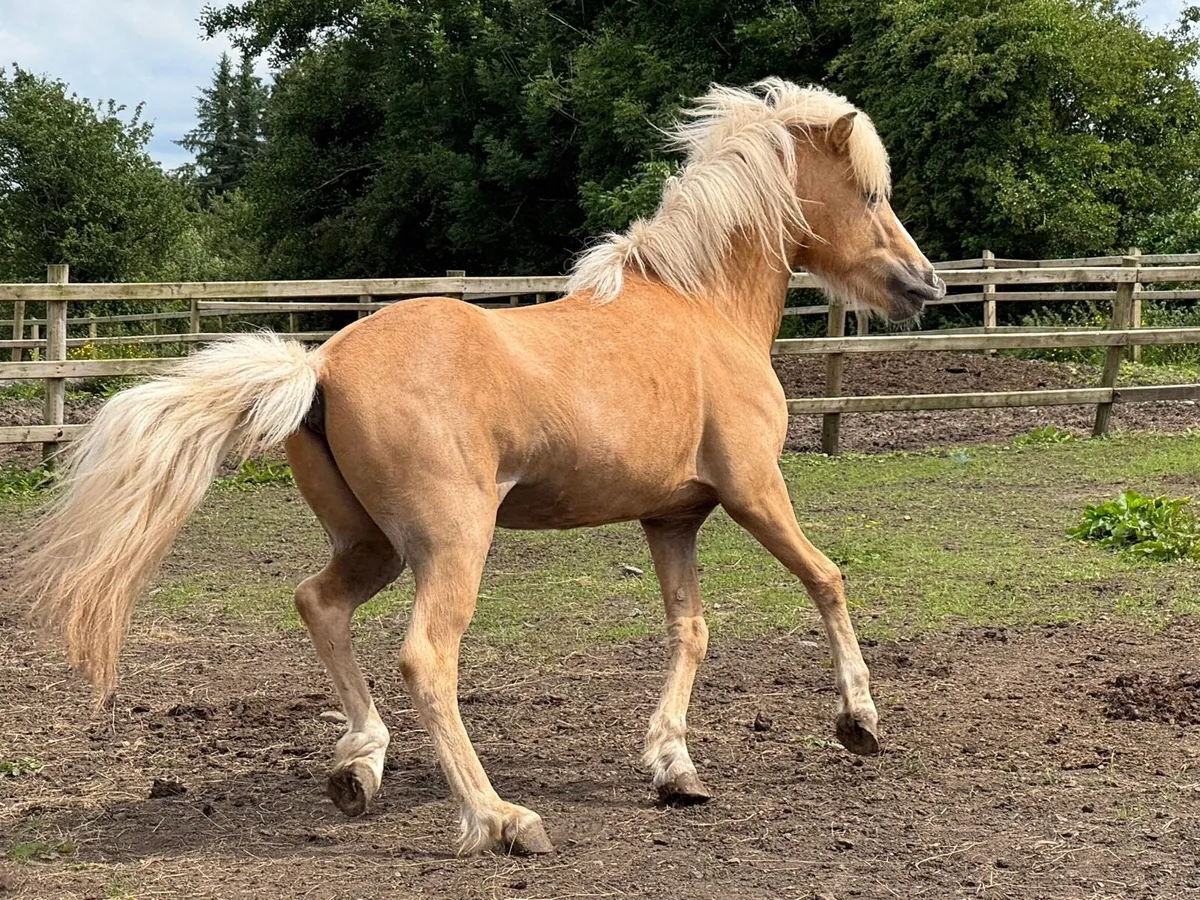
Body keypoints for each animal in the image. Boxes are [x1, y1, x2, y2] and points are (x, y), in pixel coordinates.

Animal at [20, 78, 945, 856]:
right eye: (871, 194)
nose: (926, 285)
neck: (700, 305)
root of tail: (320, 364)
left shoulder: (671, 518)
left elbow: (691, 631)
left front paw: (675, 769)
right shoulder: (755, 491)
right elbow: (826, 579)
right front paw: (860, 721)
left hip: (375, 547)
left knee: (319, 603)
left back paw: (359, 767)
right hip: (454, 542)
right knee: (427, 659)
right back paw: (501, 818)